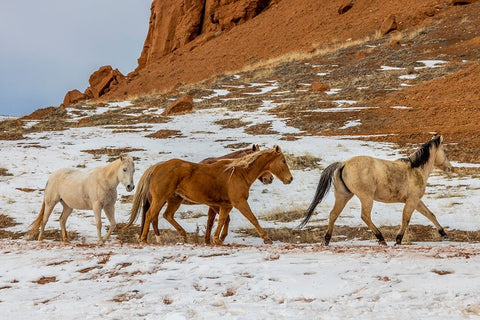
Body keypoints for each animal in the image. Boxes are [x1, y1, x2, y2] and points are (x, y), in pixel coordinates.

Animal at [298, 135, 452, 245]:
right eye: (444, 150)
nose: (449, 168)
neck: (415, 170)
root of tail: (343, 164)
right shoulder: (412, 201)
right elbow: (406, 219)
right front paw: (398, 240)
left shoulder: (416, 201)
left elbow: (430, 214)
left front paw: (444, 234)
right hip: (366, 197)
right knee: (365, 216)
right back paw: (381, 238)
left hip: (343, 196)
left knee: (333, 215)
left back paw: (327, 240)